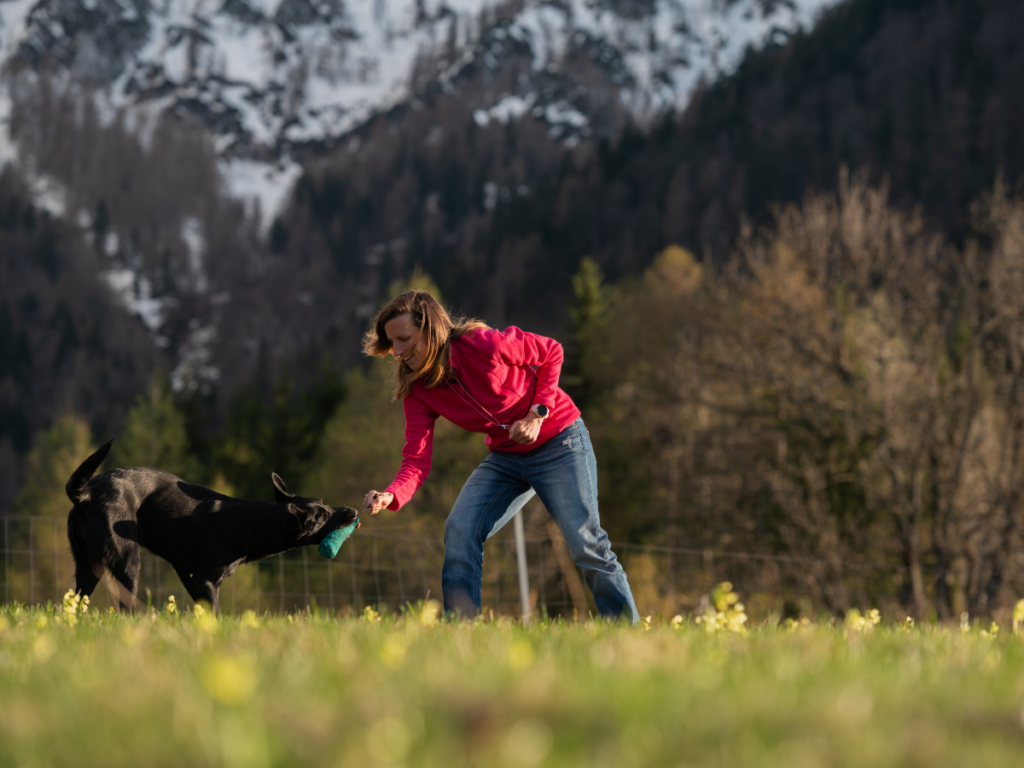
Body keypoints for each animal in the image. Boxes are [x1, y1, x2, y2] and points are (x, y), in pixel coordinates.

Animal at [65, 442, 360, 610]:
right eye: (320, 516)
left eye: (325, 503)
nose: (353, 511)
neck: (252, 521)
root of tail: (85, 494)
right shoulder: (205, 580)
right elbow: (216, 613)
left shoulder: (188, 575)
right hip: (127, 562)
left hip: (88, 567)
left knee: (74, 603)